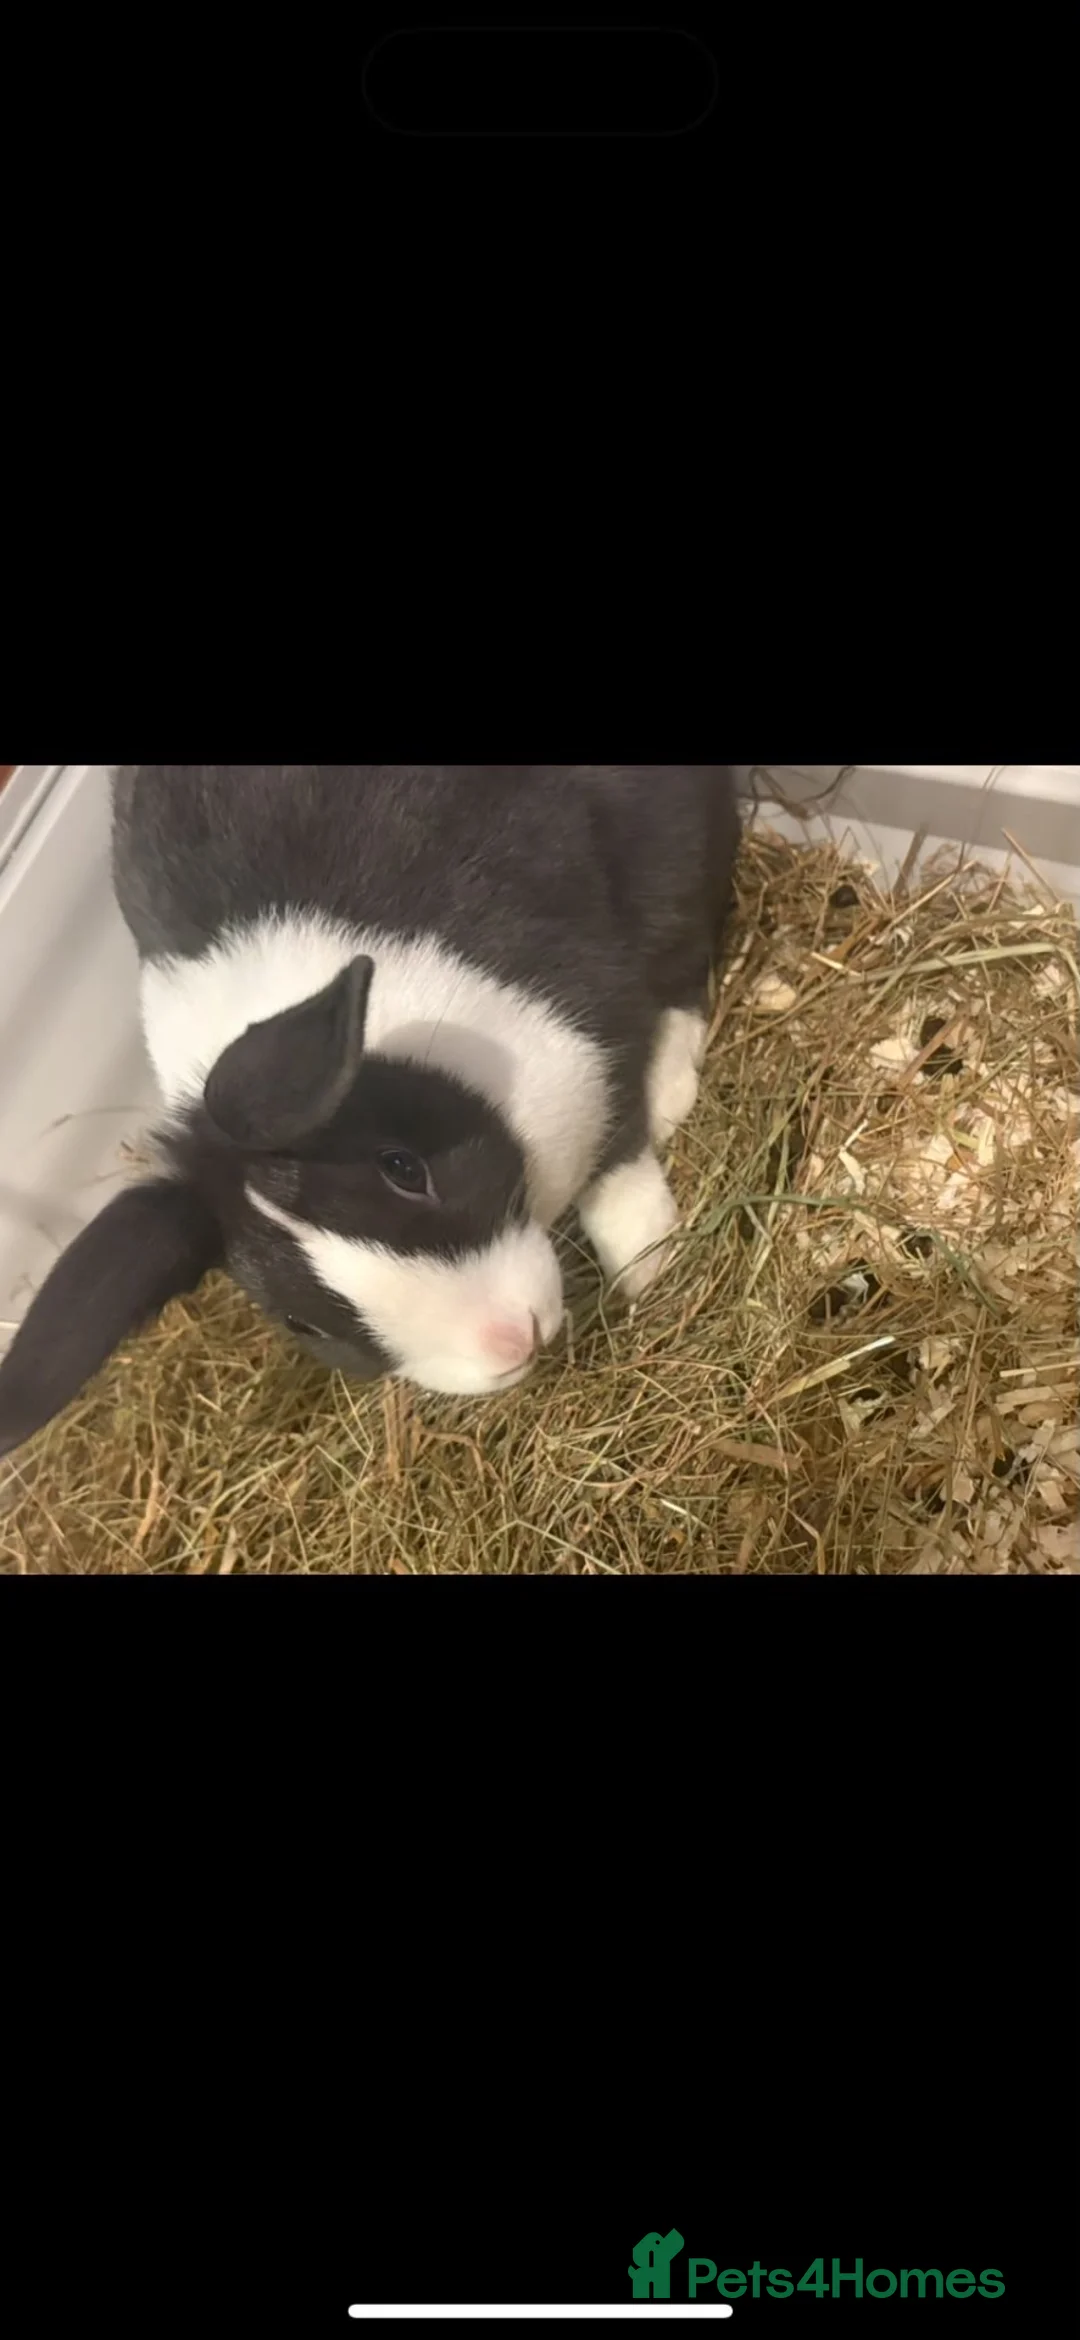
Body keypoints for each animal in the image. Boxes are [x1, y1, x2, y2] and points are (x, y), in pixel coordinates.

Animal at [0, 766, 739, 1456]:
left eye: (404, 1168)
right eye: (300, 1324)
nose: (511, 1341)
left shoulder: (593, 1016)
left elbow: (616, 1149)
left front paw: (648, 1263)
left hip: (668, 841)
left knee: (686, 944)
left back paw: (672, 1088)